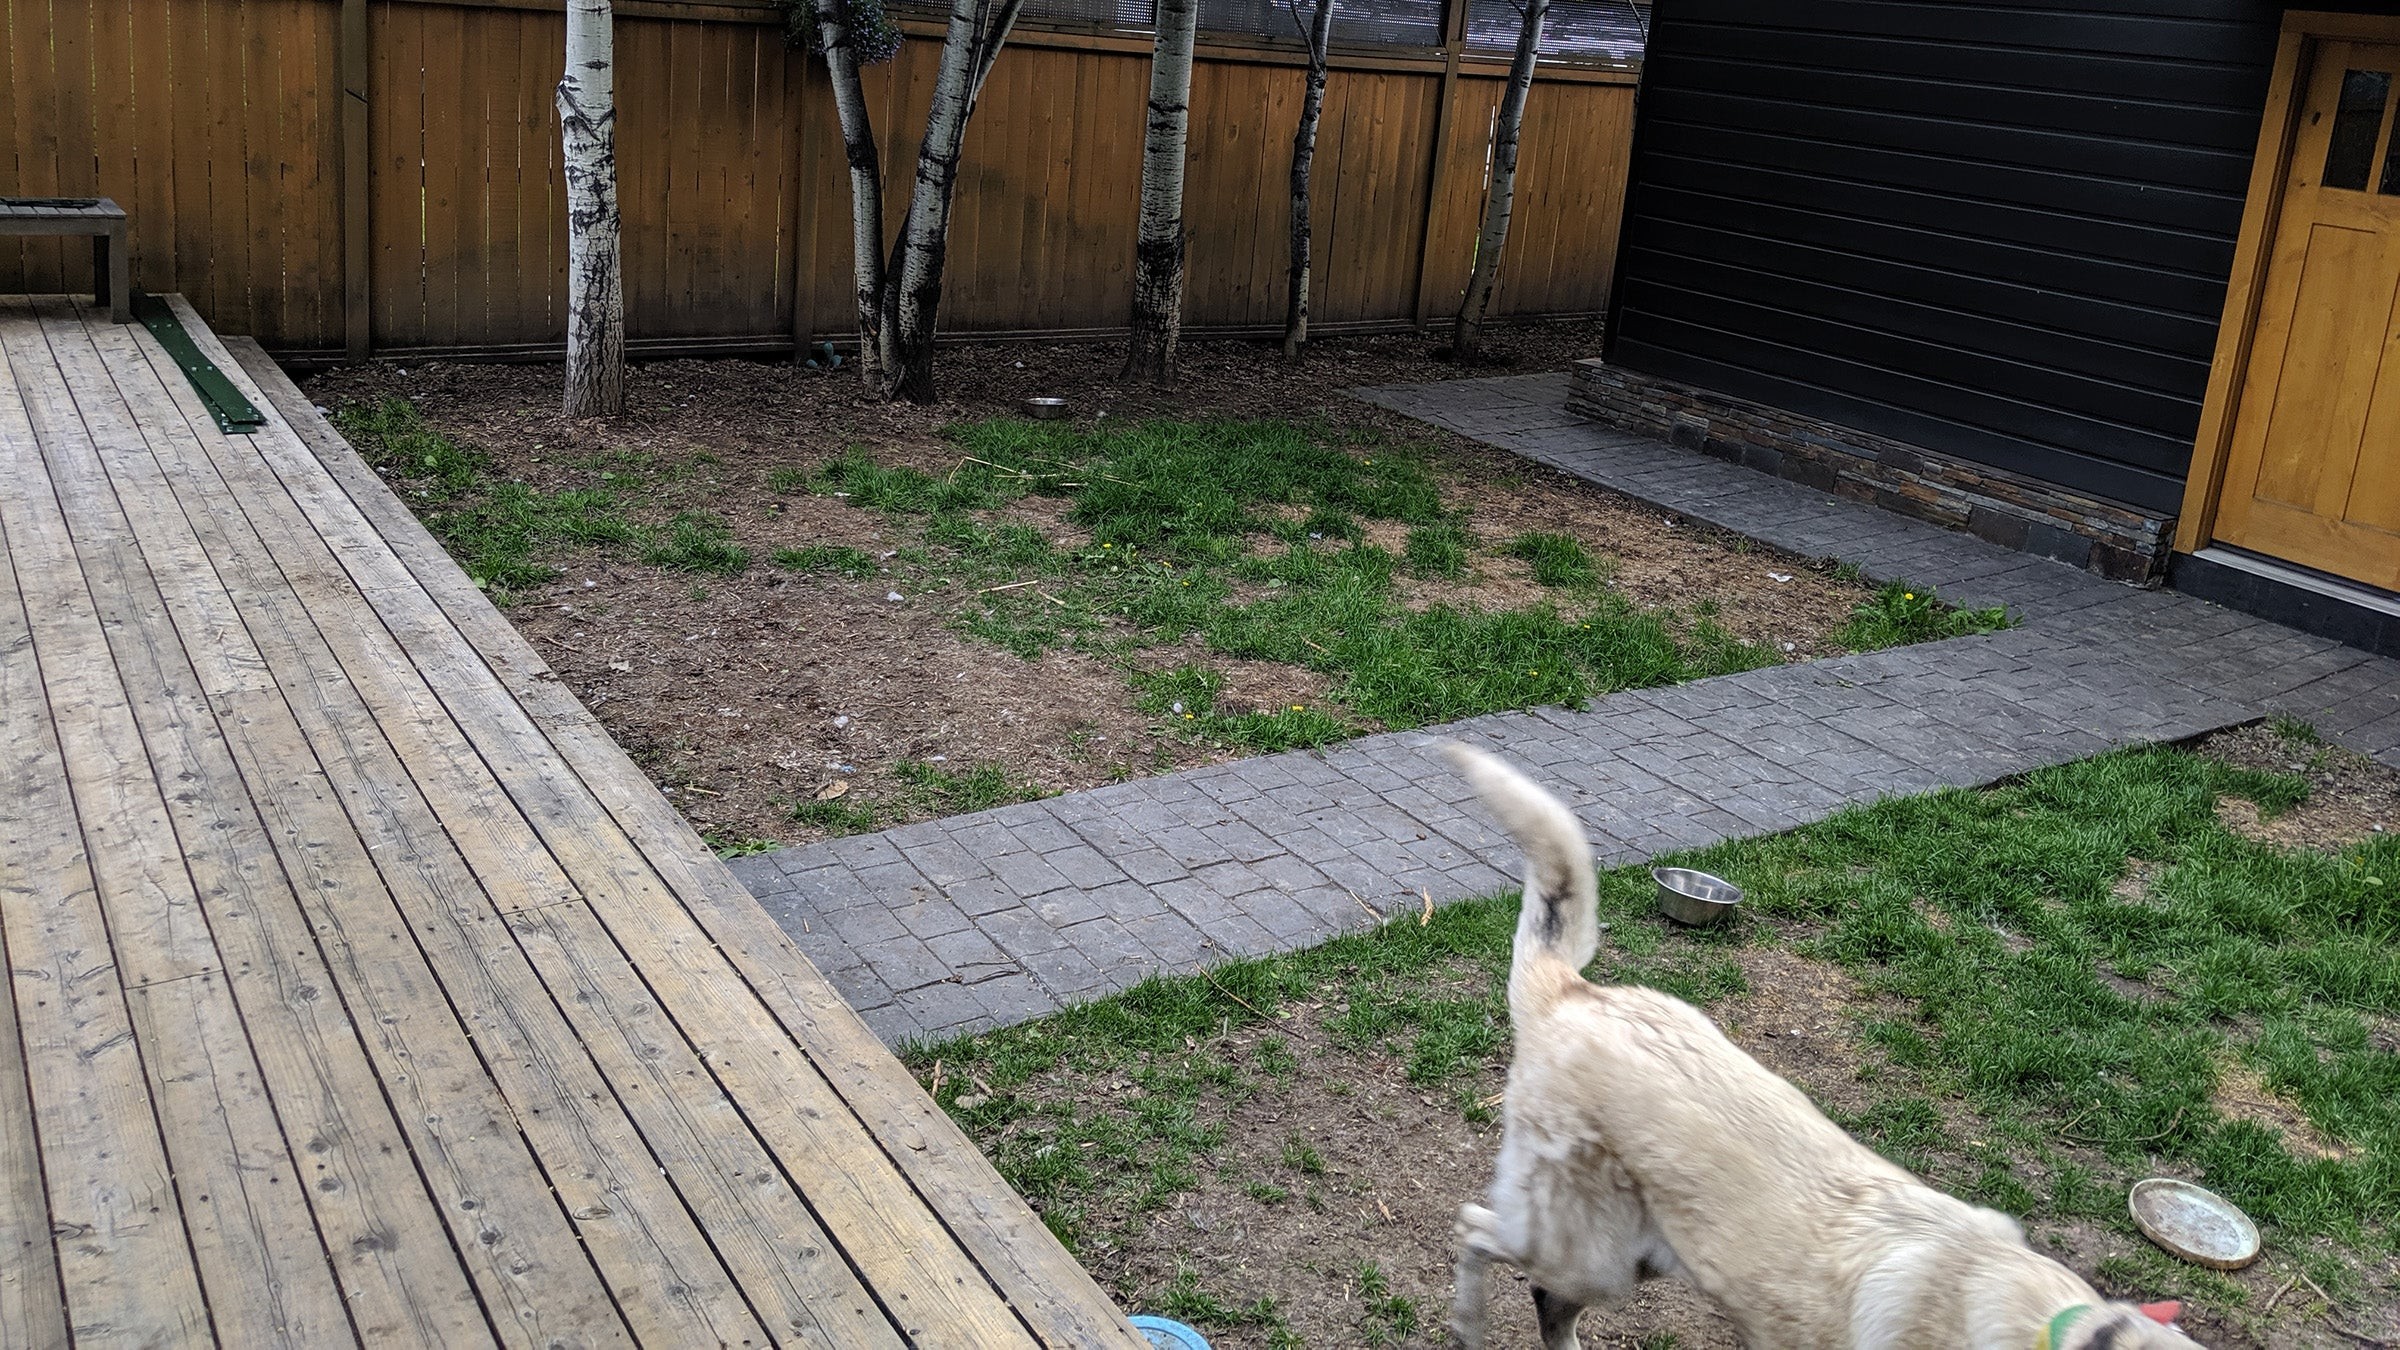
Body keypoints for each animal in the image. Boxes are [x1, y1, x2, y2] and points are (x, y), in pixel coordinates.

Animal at [1430, 744, 2198, 1345]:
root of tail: (1572, 991)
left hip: (1630, 1258)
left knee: (1544, 1301)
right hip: (1588, 1253)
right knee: (1474, 1229)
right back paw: (1467, 1326)